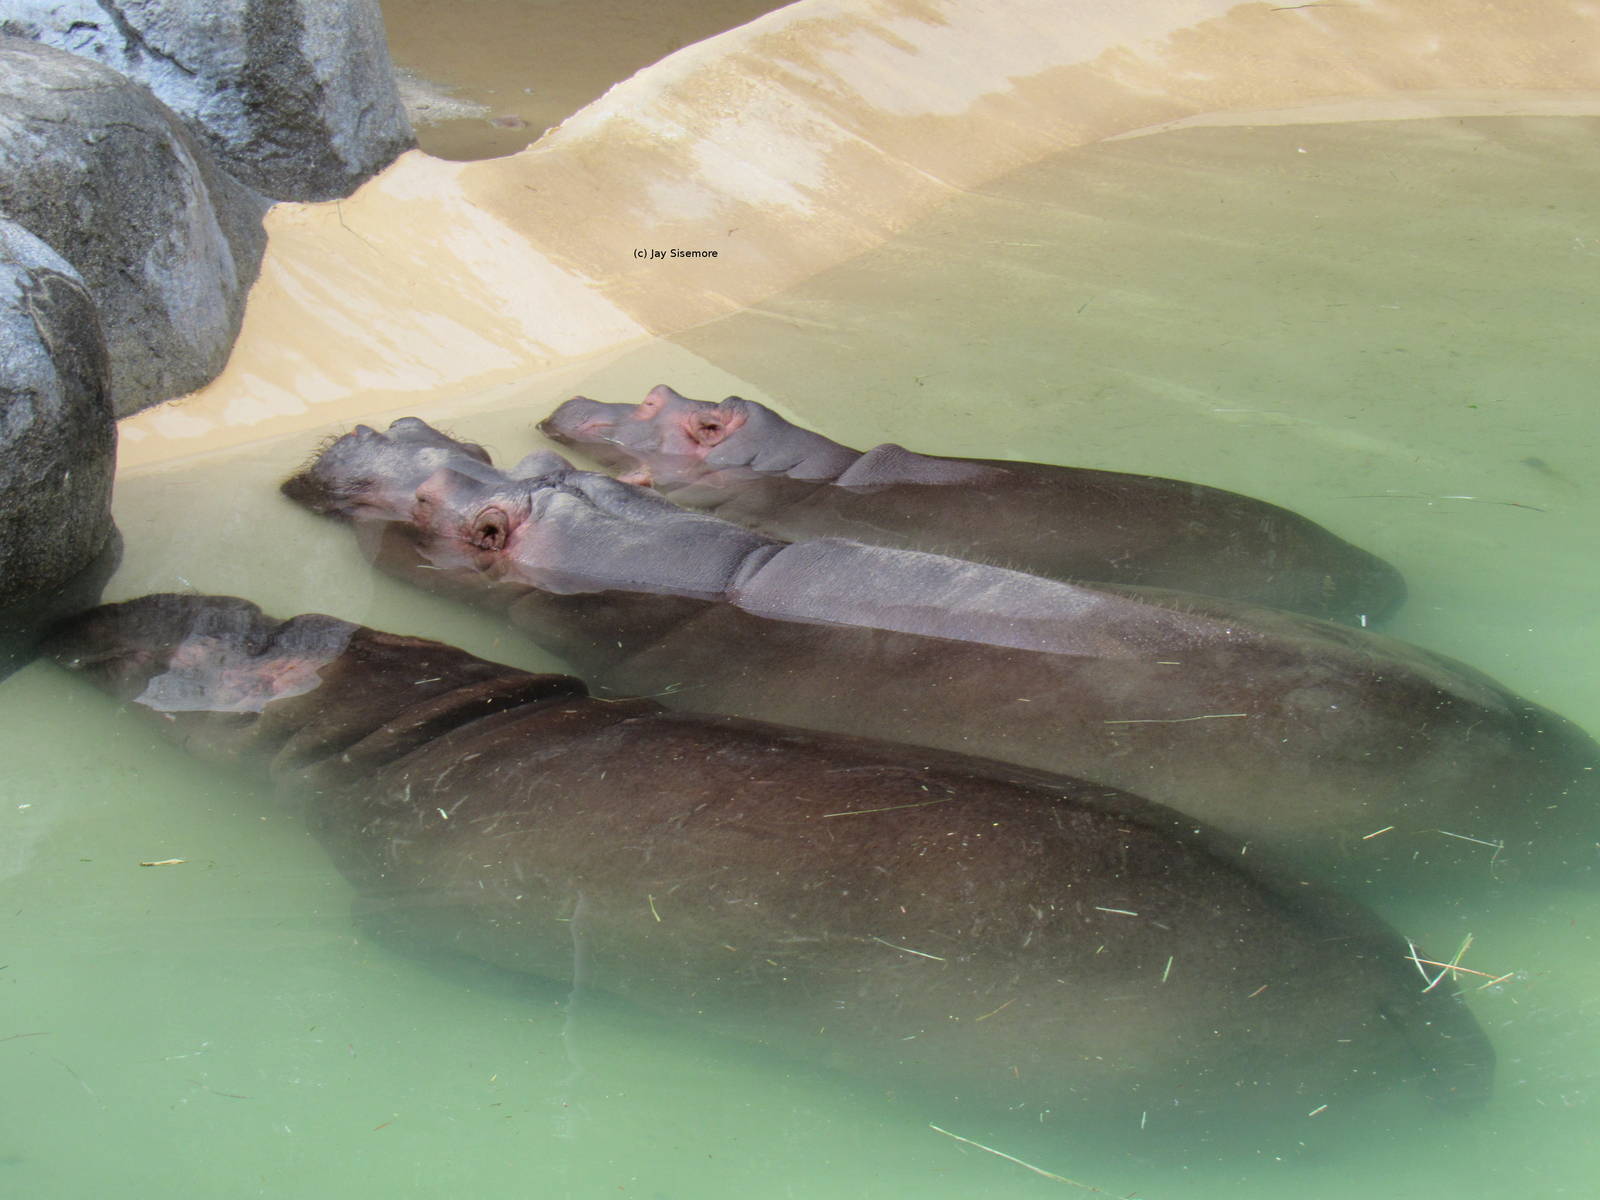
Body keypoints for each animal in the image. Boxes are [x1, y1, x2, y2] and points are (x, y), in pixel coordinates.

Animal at [45, 592, 1494, 1138]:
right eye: (204, 601)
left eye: (182, 643)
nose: (84, 608)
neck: (400, 720)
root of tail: (1413, 1003)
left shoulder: (411, 899)